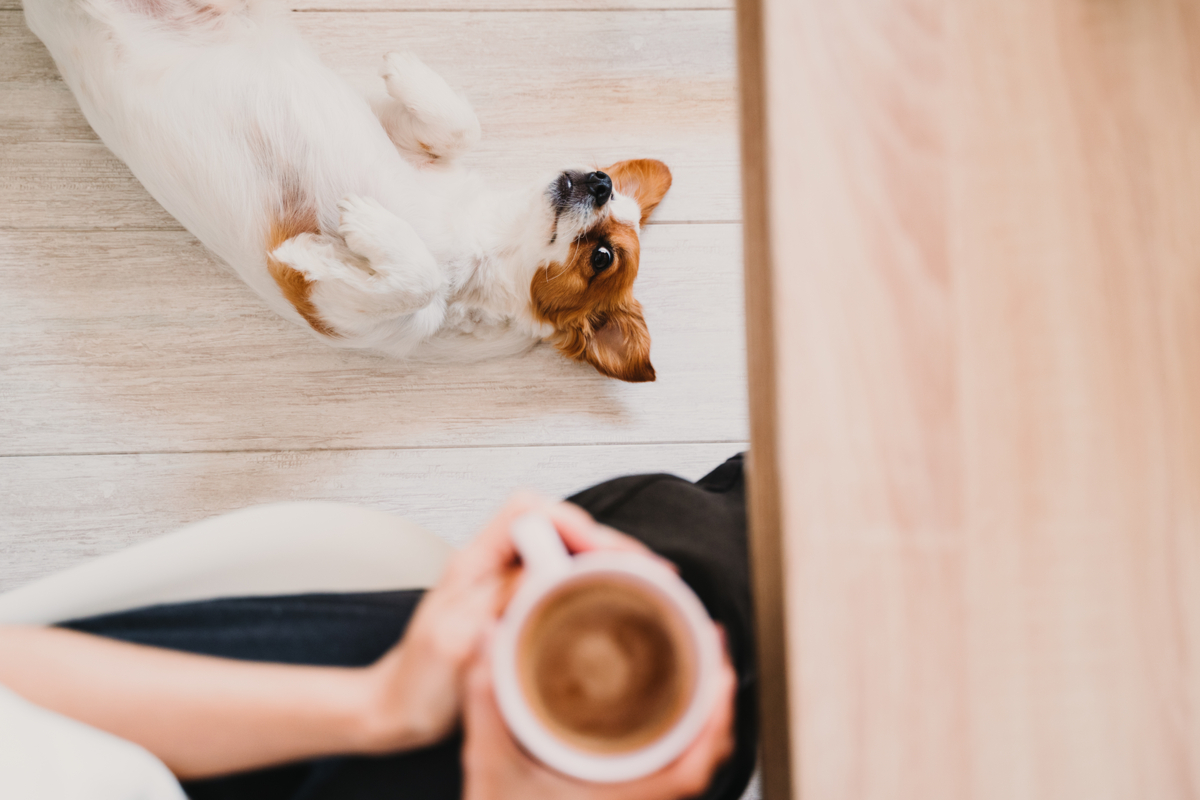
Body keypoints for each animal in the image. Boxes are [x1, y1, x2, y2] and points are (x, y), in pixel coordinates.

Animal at [23, 0, 672, 381]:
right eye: (606, 180)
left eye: (603, 256)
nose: (601, 179)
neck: (481, 241)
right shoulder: (409, 141)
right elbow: (463, 128)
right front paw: (403, 66)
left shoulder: (330, 312)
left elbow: (415, 282)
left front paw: (351, 234)